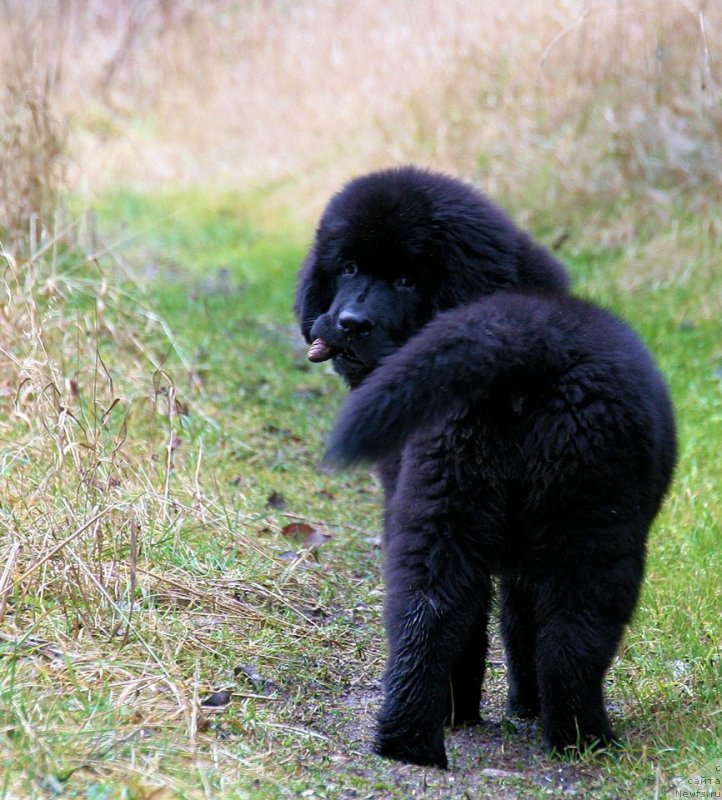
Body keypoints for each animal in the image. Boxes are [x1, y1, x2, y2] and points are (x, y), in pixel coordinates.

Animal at [294, 167, 676, 768]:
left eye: (406, 279)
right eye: (349, 268)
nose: (351, 323)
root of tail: (525, 338)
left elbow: (504, 628)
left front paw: (497, 711)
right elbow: (521, 628)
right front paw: (521, 707)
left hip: (453, 513)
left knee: (430, 619)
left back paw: (413, 744)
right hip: (590, 528)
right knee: (570, 639)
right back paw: (582, 739)